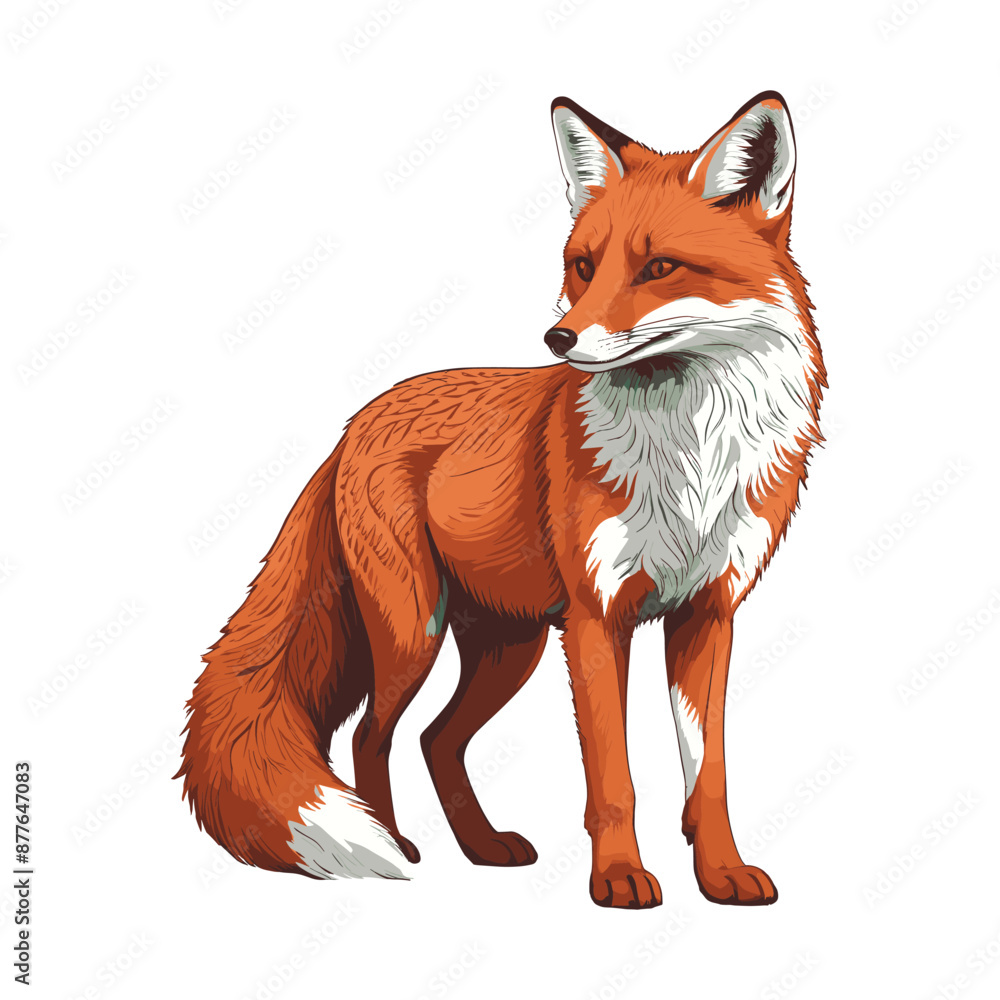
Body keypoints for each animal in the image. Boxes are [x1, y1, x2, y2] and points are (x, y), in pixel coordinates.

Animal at [178, 91, 825, 909]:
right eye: (584, 265)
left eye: (660, 267)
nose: (559, 337)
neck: (690, 459)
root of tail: (356, 422)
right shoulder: (596, 617)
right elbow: (614, 778)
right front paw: (619, 876)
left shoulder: (707, 613)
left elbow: (707, 776)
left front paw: (721, 873)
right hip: (414, 629)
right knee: (370, 735)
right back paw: (400, 847)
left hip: (508, 645)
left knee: (436, 739)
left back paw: (482, 846)